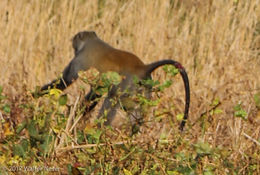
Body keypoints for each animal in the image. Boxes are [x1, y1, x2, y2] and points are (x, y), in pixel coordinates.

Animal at [40, 30, 191, 131]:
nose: (73, 42)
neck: (91, 41)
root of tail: (143, 68)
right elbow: (95, 93)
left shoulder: (79, 60)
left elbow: (65, 81)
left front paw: (38, 94)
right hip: (145, 88)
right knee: (135, 112)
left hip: (127, 83)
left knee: (112, 98)